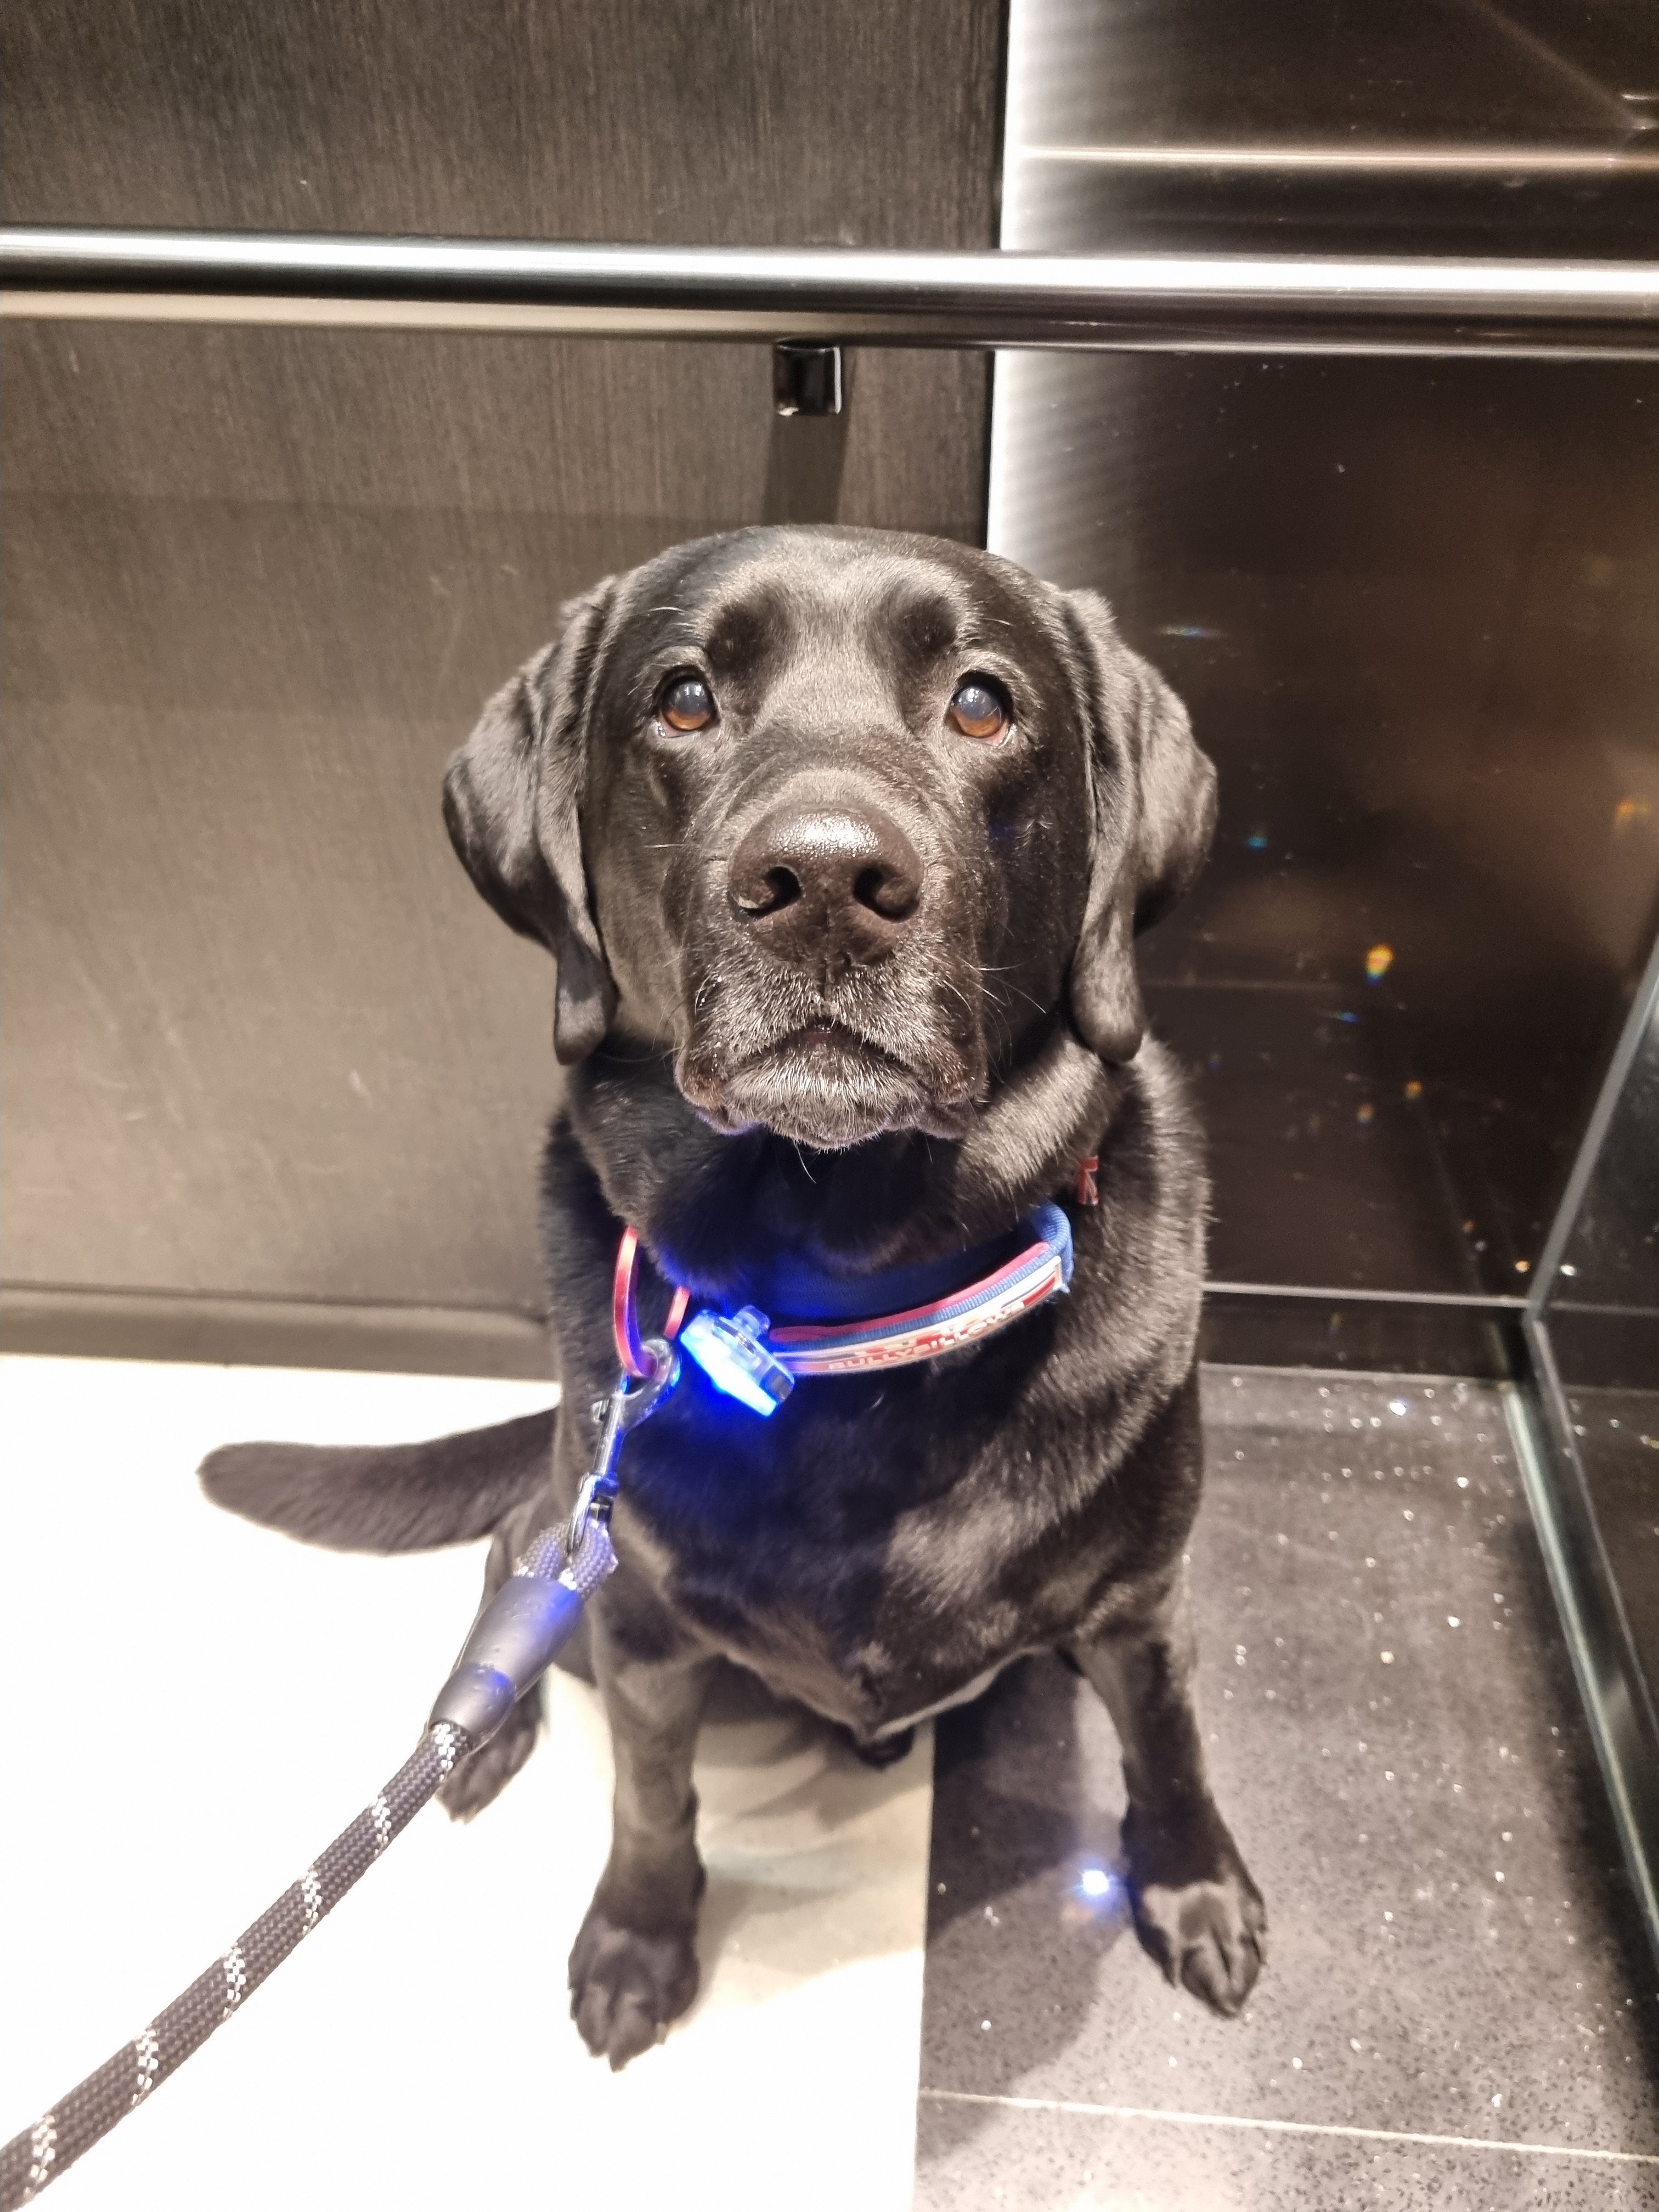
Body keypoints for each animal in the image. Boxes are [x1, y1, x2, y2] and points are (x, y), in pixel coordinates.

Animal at [203, 524, 1266, 2068]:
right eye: (686, 698)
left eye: (983, 703)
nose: (823, 883)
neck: (852, 1300)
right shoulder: (645, 1627)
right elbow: (653, 1797)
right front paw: (640, 1938)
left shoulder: (1141, 1597)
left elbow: (1171, 1742)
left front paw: (1193, 1886)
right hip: (580, 1523)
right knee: (519, 1549)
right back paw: (480, 1723)